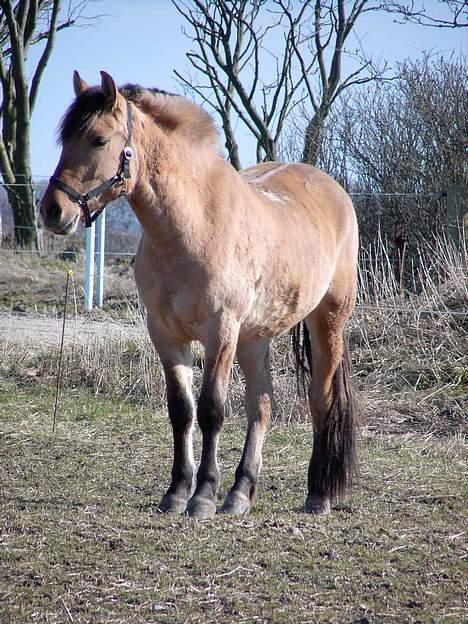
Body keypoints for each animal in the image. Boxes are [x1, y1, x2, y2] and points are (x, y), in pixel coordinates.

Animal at [42, 70, 360, 520]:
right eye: (65, 138)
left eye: (99, 139)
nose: (52, 211)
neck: (193, 224)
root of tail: (332, 190)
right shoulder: (165, 334)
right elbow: (182, 410)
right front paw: (177, 491)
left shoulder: (220, 332)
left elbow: (211, 410)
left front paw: (204, 495)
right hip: (254, 337)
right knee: (262, 404)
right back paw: (241, 494)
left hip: (327, 320)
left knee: (321, 399)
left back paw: (318, 495)